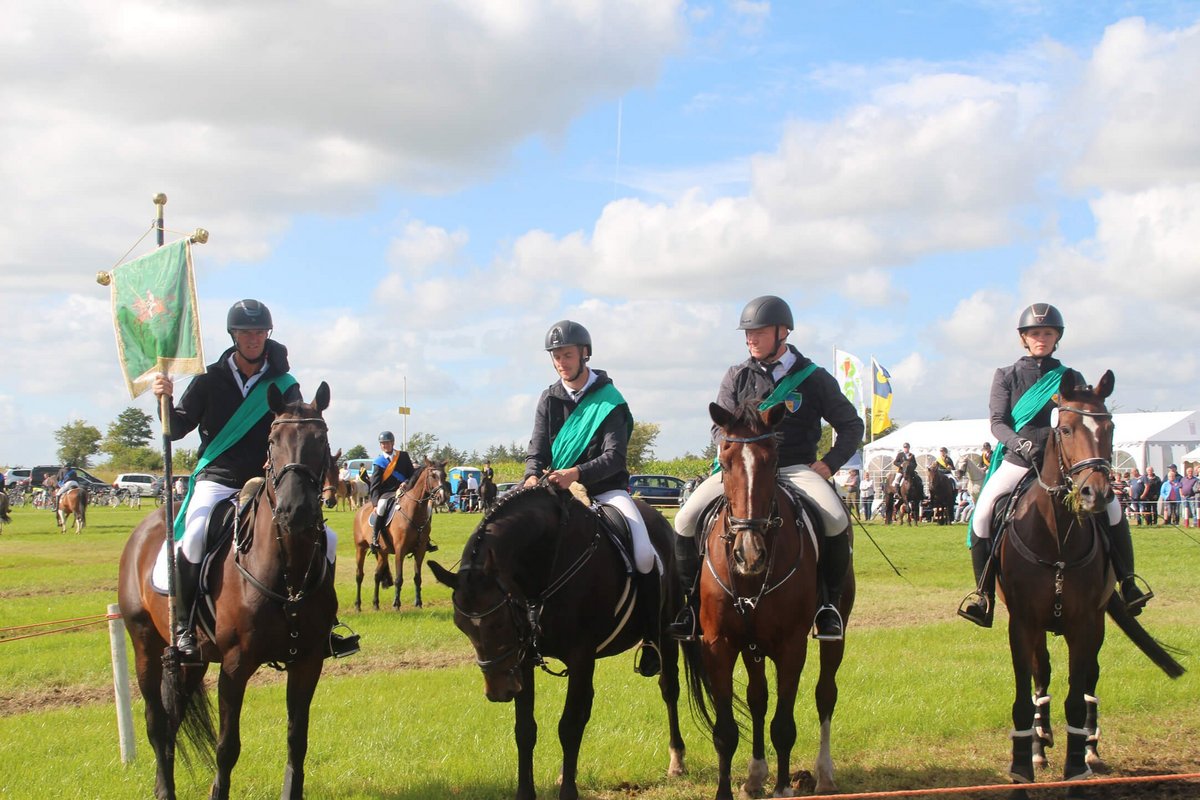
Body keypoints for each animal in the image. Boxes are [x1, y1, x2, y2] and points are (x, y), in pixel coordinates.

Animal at [117, 381, 340, 800]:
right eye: (272, 440)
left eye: (321, 439)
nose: (295, 511)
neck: (287, 571)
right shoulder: (235, 666)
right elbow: (227, 746)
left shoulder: (307, 662)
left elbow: (297, 739)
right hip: (145, 644)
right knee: (156, 722)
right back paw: (164, 789)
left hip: (192, 661)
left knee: (172, 720)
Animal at [350, 460, 446, 609]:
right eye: (433, 476)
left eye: (444, 476)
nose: (442, 498)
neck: (414, 511)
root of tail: (361, 510)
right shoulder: (400, 550)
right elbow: (398, 578)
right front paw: (396, 604)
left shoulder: (420, 551)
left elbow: (417, 578)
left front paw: (418, 603)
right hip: (360, 548)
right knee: (359, 575)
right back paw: (357, 605)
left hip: (382, 552)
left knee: (377, 575)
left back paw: (376, 604)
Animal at [429, 482, 686, 800]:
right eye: (461, 625)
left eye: (499, 620)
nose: (499, 692)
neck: (546, 564)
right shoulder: (522, 660)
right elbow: (525, 729)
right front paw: (526, 792)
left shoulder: (580, 656)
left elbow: (569, 725)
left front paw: (568, 792)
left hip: (665, 634)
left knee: (669, 689)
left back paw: (677, 760)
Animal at [686, 402, 854, 800]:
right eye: (725, 460)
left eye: (773, 459)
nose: (750, 553)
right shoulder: (720, 644)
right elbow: (727, 730)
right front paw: (728, 790)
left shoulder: (791, 647)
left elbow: (784, 725)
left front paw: (783, 787)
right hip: (753, 647)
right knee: (758, 698)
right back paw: (755, 775)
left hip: (833, 637)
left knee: (825, 694)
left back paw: (824, 774)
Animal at [993, 371, 1180, 796]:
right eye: (1064, 429)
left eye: (1110, 428)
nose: (1096, 494)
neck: (1058, 536)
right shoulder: (1022, 623)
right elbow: (1024, 697)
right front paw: (1022, 771)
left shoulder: (1085, 624)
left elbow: (1077, 699)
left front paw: (1076, 771)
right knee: (1042, 674)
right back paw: (1039, 745)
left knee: (1089, 679)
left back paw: (1091, 749)